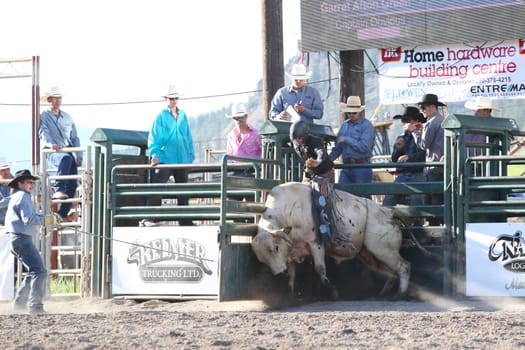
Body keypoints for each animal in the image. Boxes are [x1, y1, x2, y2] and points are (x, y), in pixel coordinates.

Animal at [252, 182, 412, 300]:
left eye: (275, 248)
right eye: (262, 260)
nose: (279, 274)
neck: (289, 209)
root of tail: (390, 213)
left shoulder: (315, 243)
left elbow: (319, 268)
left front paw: (331, 291)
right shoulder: (290, 250)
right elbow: (292, 275)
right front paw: (290, 295)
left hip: (383, 249)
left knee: (403, 266)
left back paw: (400, 294)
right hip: (370, 254)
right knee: (390, 273)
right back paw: (383, 294)